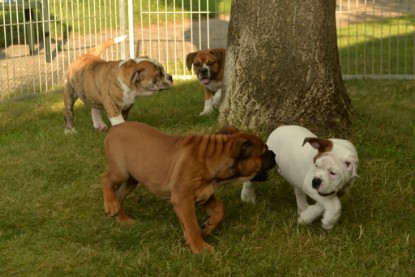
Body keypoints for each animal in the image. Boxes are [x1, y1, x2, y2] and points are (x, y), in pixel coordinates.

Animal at [101, 122, 276, 253]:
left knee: (119, 195)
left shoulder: (205, 194)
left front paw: (208, 227)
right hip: (121, 172)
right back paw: (110, 205)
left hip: (132, 179)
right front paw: (201, 248)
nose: (274, 154)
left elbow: (219, 210)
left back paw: (121, 217)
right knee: (105, 178)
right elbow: (192, 226)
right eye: (264, 152)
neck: (215, 156)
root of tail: (116, 127)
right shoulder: (183, 199)